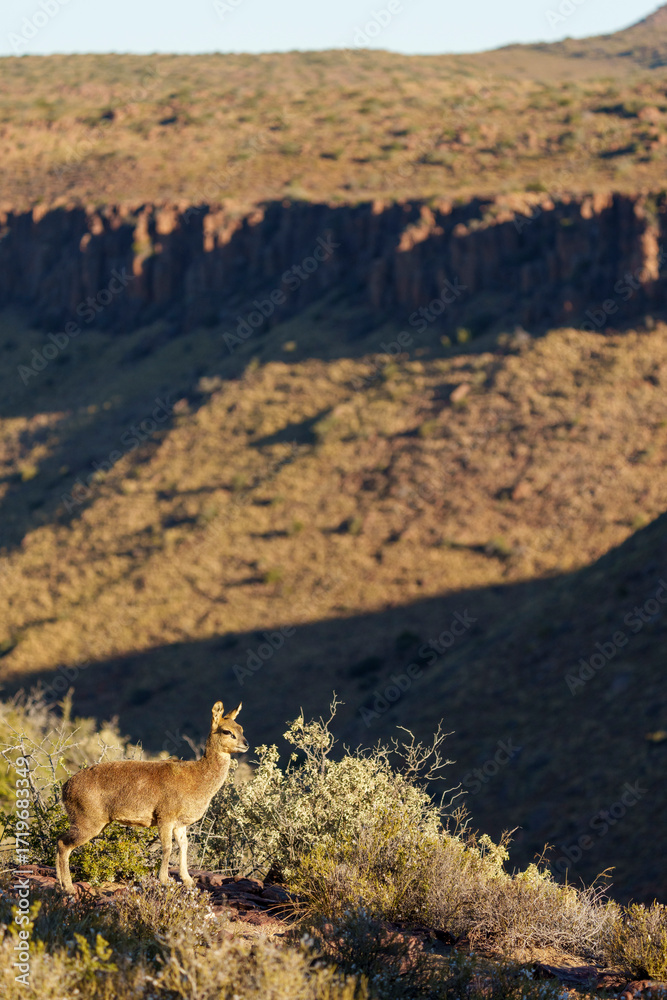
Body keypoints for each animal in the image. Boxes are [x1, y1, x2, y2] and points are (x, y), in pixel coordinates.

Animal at [56, 701, 248, 894]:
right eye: (226, 731)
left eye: (241, 728)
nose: (246, 744)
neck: (197, 777)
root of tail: (65, 787)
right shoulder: (165, 817)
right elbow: (167, 847)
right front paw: (165, 880)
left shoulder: (180, 824)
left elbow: (183, 846)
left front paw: (188, 881)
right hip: (87, 822)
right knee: (63, 844)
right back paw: (69, 888)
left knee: (59, 841)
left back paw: (60, 882)